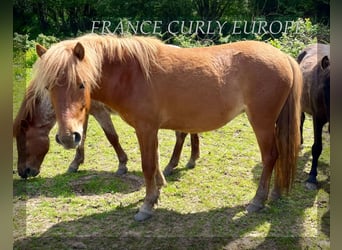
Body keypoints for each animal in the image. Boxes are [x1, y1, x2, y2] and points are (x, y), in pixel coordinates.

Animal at [14, 83, 200, 178]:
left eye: (23, 143)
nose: (23, 172)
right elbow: (81, 137)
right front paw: (75, 163)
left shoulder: (99, 112)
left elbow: (112, 136)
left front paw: (122, 164)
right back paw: (191, 160)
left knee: (181, 135)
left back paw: (171, 166)